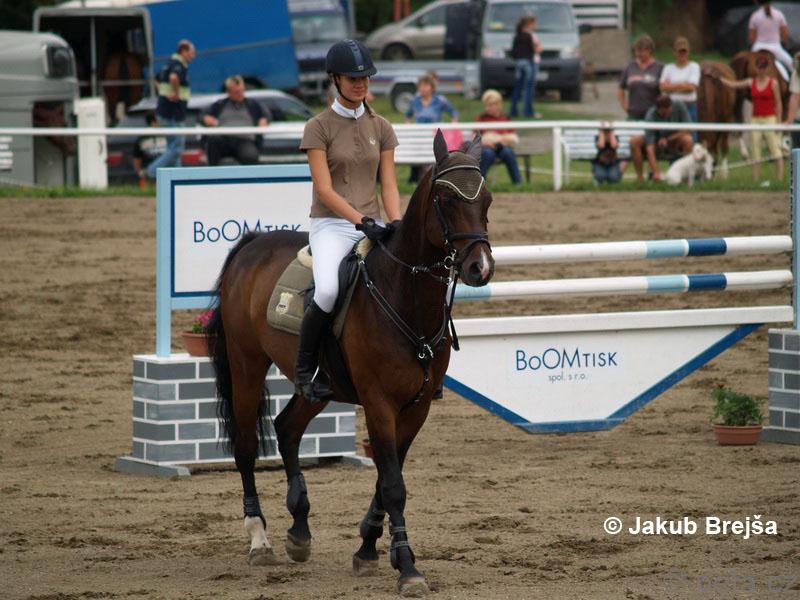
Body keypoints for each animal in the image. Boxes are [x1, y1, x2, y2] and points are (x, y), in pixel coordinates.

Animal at [206, 130, 494, 596]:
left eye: (486, 199)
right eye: (446, 199)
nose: (479, 267)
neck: (404, 295)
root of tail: (254, 243)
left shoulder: (416, 407)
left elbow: (386, 478)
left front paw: (369, 549)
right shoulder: (379, 403)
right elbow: (393, 485)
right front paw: (407, 567)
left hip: (317, 387)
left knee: (287, 428)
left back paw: (299, 530)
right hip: (245, 363)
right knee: (246, 447)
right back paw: (259, 539)